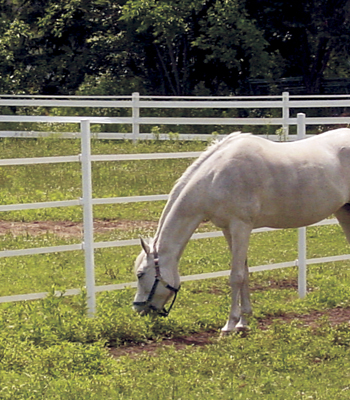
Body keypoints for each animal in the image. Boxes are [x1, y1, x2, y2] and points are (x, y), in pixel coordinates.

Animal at [133, 128, 350, 332]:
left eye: (140, 274)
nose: (137, 309)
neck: (216, 177)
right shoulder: (228, 229)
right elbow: (244, 272)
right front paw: (243, 322)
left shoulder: (241, 226)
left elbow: (235, 276)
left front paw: (229, 324)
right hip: (343, 212)